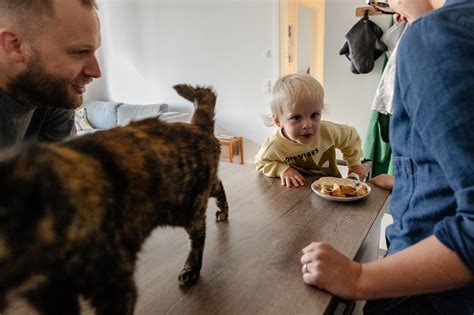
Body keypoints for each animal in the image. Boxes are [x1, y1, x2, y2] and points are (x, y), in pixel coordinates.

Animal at [0, 85, 230, 314]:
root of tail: (197, 126)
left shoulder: (113, 284)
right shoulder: (52, 295)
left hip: (186, 206)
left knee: (199, 234)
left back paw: (192, 268)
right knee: (218, 185)